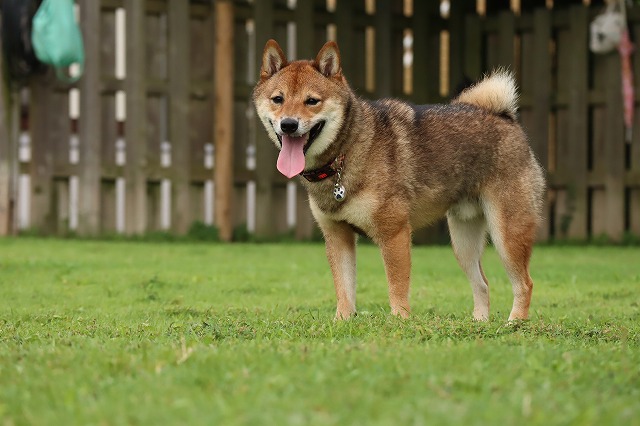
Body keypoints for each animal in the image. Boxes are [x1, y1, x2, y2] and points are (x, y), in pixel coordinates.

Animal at [253, 39, 545, 321]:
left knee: (525, 284)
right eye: (278, 99)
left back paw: (514, 323)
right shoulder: (337, 236)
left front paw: (400, 320)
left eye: (312, 101)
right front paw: (342, 322)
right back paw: (480, 323)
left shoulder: (394, 233)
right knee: (482, 284)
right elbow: (344, 290)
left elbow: (396, 285)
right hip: (463, 241)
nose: (288, 124)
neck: (346, 152)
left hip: (507, 234)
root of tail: (505, 117)